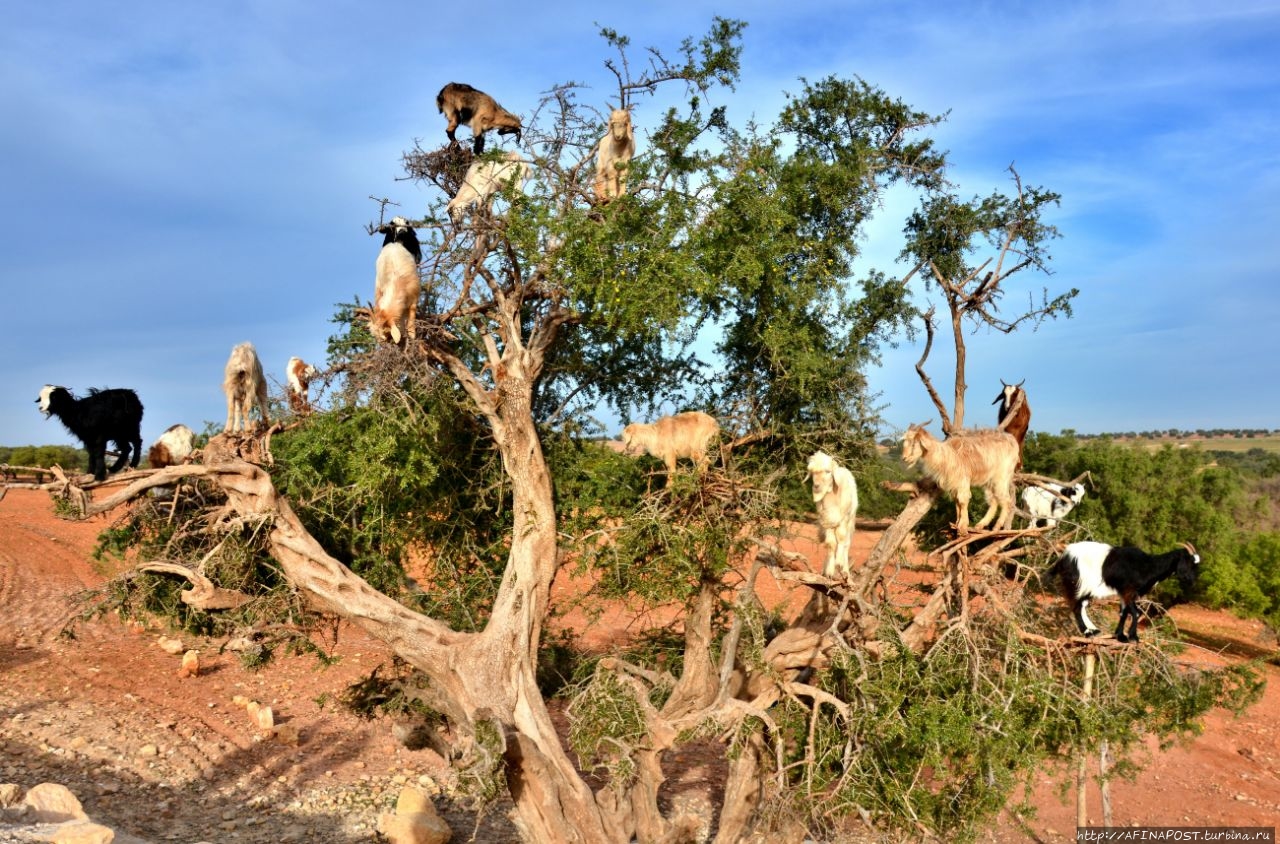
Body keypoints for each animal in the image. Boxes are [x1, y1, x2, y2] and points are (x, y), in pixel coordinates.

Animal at [1049, 537, 1198, 642]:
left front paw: (1120, 636)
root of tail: (1063, 557)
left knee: (1080, 605)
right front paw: (1133, 637)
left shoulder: (1123, 592)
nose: (1191, 580)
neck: (1148, 565)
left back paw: (1094, 630)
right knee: (1076, 607)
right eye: (1189, 562)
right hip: (1080, 583)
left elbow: (1124, 613)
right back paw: (1087, 632)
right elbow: (1136, 613)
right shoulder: (1128, 590)